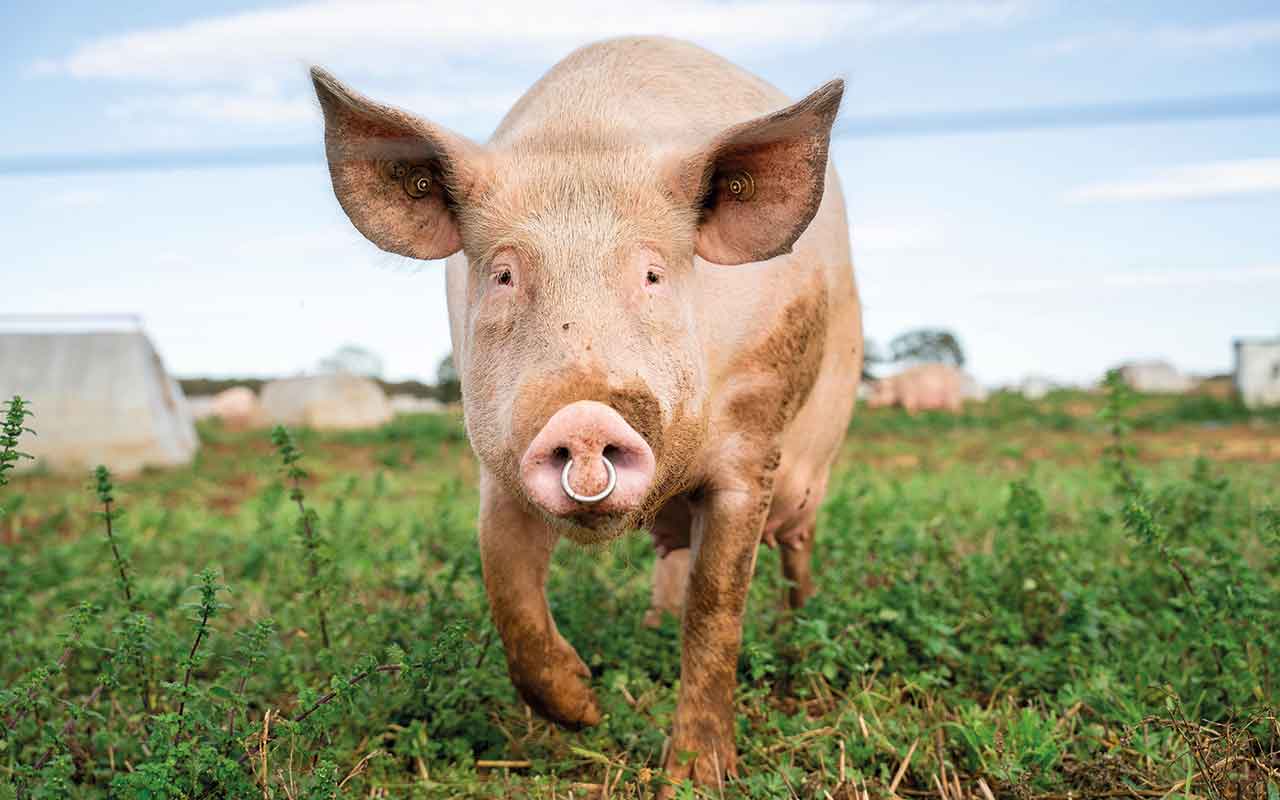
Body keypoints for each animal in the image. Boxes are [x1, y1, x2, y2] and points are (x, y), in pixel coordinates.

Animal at [311, 36, 861, 792]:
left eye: (653, 274)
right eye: (505, 274)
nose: (584, 416)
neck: (590, 143)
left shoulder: (752, 442)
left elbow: (716, 605)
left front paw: (694, 778)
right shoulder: (497, 462)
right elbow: (507, 591)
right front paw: (586, 708)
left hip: (816, 457)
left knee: (795, 543)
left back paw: (798, 634)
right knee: (670, 557)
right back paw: (652, 627)